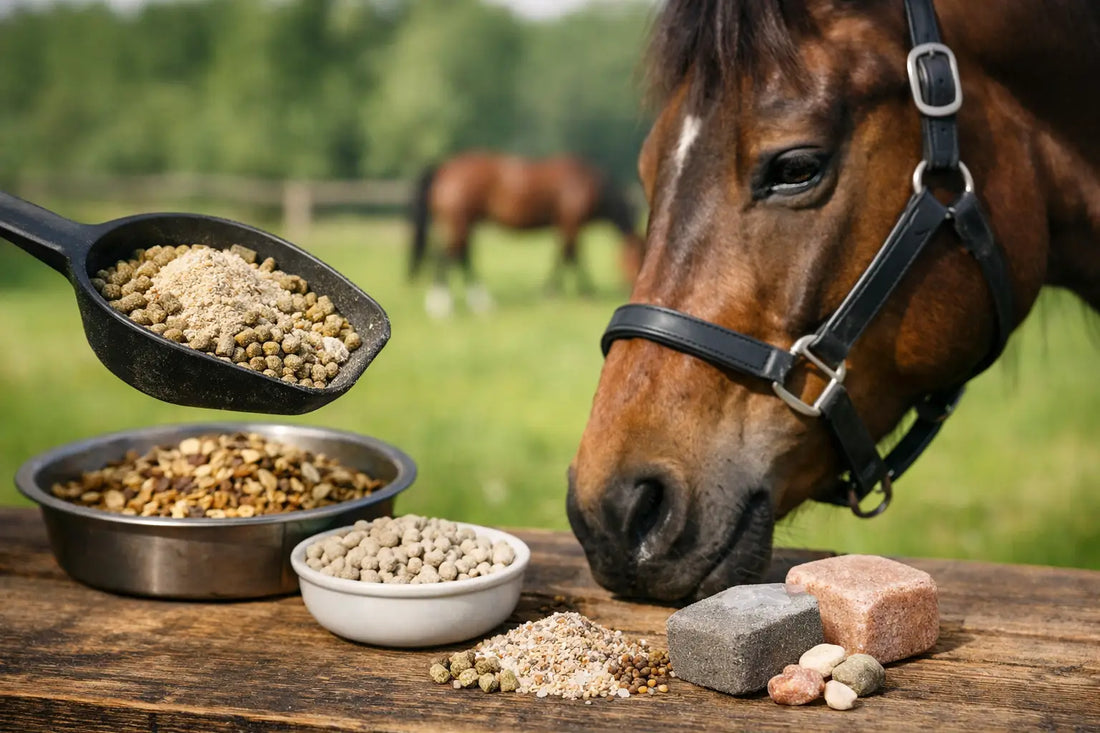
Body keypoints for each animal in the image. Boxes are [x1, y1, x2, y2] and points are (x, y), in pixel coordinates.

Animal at [408, 152, 644, 316]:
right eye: (634, 260)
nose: (630, 287)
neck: (586, 182)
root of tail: (444, 168)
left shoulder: (564, 227)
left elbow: (564, 256)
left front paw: (557, 291)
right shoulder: (571, 224)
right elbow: (571, 257)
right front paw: (580, 292)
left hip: (464, 223)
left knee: (462, 256)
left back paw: (480, 303)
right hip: (458, 222)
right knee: (446, 256)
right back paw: (441, 305)